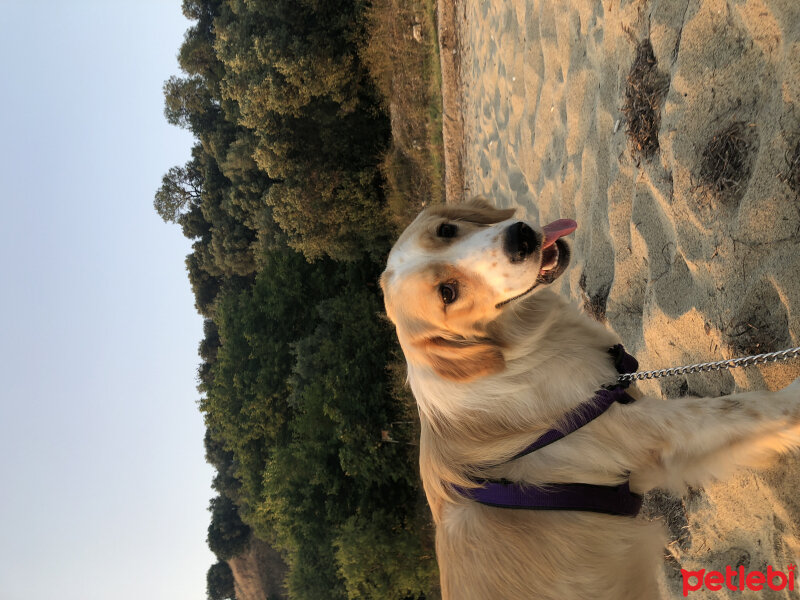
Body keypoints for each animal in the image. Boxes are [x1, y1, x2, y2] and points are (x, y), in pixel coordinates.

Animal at [380, 198, 800, 600]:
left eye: (447, 229)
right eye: (447, 293)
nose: (520, 238)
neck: (516, 354)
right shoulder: (643, 431)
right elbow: (746, 407)